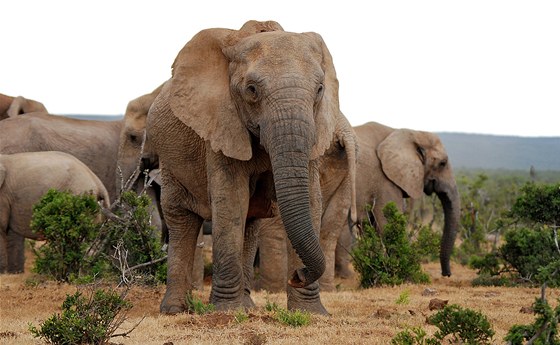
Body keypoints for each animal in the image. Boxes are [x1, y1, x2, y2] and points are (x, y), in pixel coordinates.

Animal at [149, 19, 350, 314]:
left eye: (320, 89)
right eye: (252, 90)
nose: (297, 275)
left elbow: (312, 200)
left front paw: (311, 313)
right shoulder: (221, 123)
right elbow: (232, 200)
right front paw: (227, 312)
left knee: (250, 222)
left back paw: (247, 306)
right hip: (169, 159)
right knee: (181, 220)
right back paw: (175, 310)